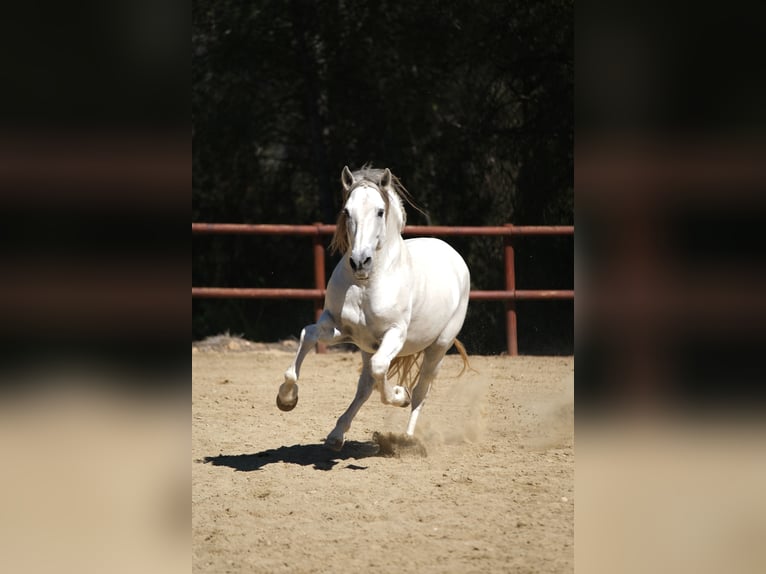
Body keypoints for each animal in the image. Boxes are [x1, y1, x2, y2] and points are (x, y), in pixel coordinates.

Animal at [276, 164, 468, 452]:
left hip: (439, 346)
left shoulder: (395, 334)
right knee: (365, 387)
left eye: (380, 211)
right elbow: (307, 334)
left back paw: (407, 439)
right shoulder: (341, 329)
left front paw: (399, 394)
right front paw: (287, 398)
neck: (366, 284)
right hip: (367, 348)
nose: (359, 261)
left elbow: (381, 370)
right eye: (347, 211)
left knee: (420, 391)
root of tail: (451, 254)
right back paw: (336, 435)